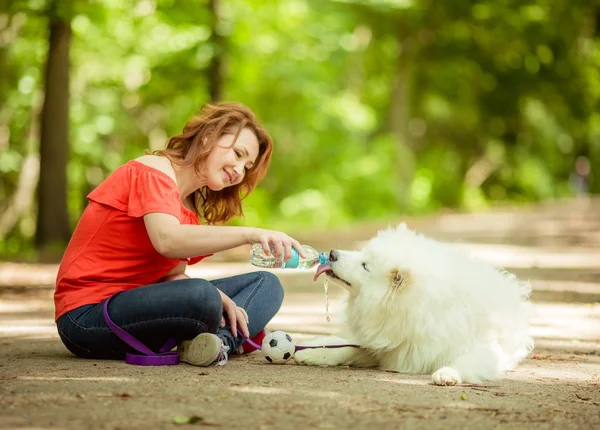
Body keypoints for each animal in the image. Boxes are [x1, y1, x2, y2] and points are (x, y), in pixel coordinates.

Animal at [292, 223, 532, 384]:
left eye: (365, 265)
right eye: (362, 254)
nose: (332, 253)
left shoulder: (484, 351)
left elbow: (465, 362)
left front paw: (447, 373)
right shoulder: (388, 346)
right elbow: (345, 349)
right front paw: (312, 353)